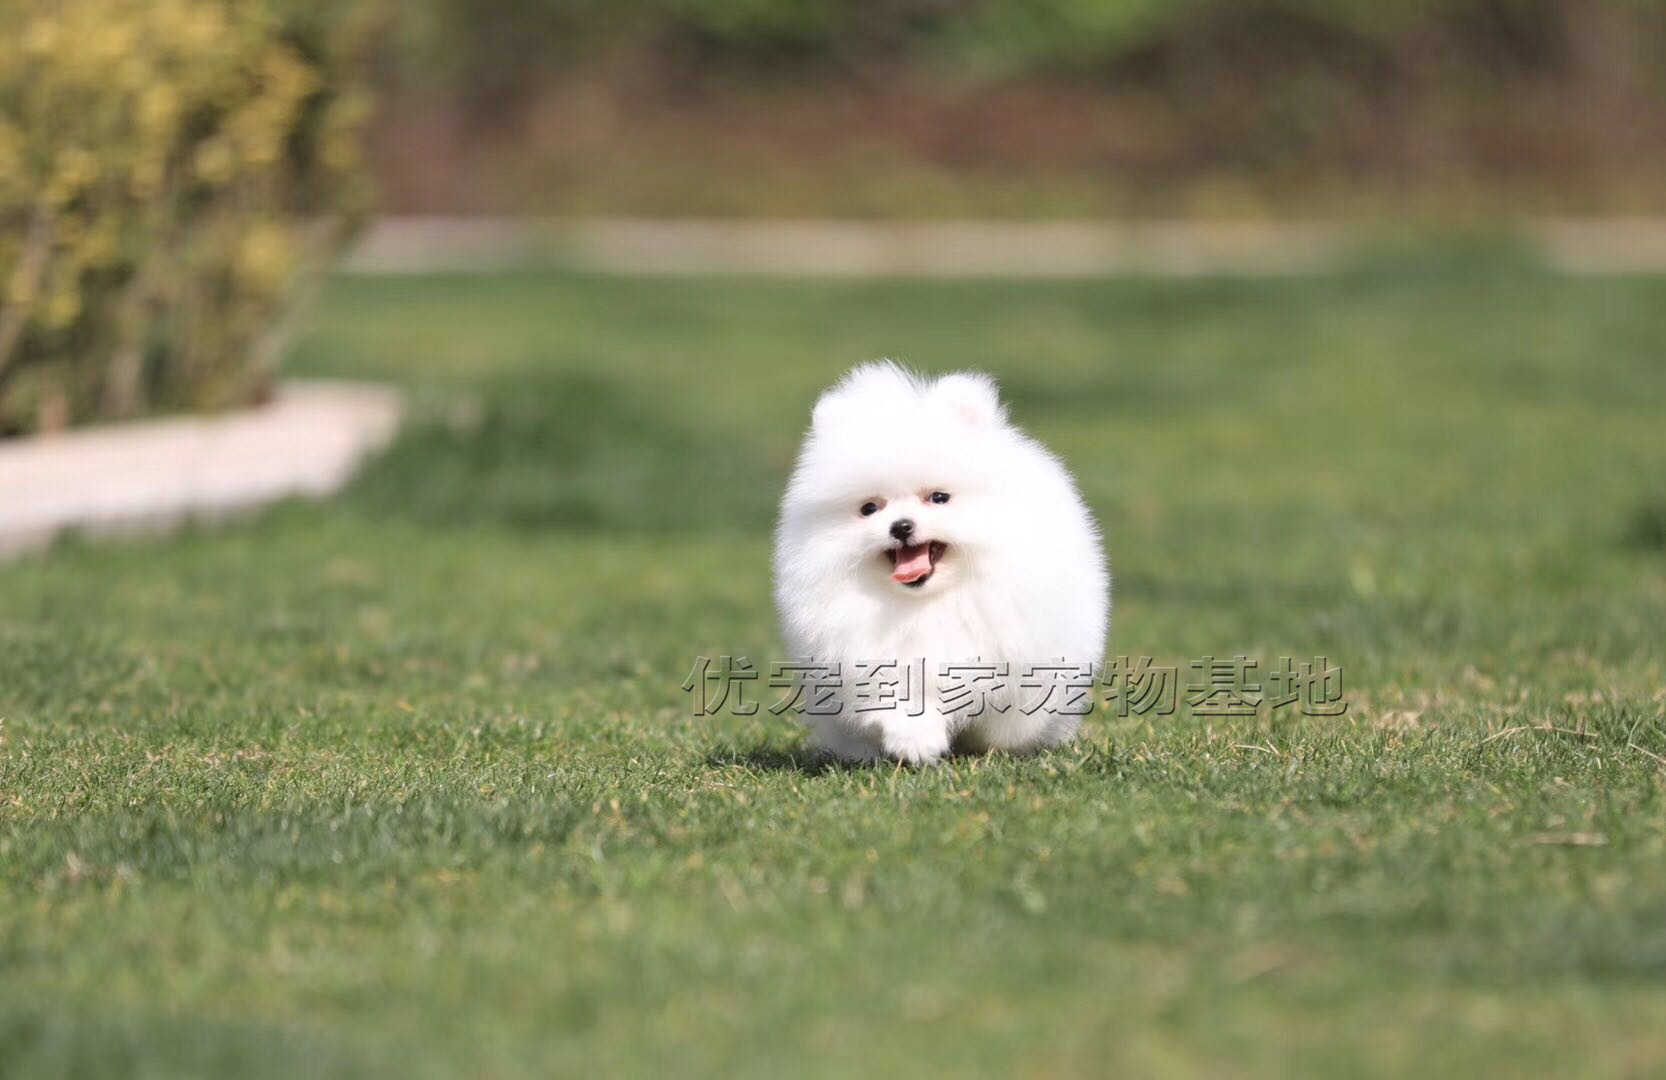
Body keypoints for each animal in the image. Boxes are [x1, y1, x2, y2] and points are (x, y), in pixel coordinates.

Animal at [773, 365, 1112, 766]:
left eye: (938, 498)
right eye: (870, 508)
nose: (901, 526)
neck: (931, 601)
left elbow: (1011, 718)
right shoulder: (874, 654)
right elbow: (902, 699)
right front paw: (916, 741)